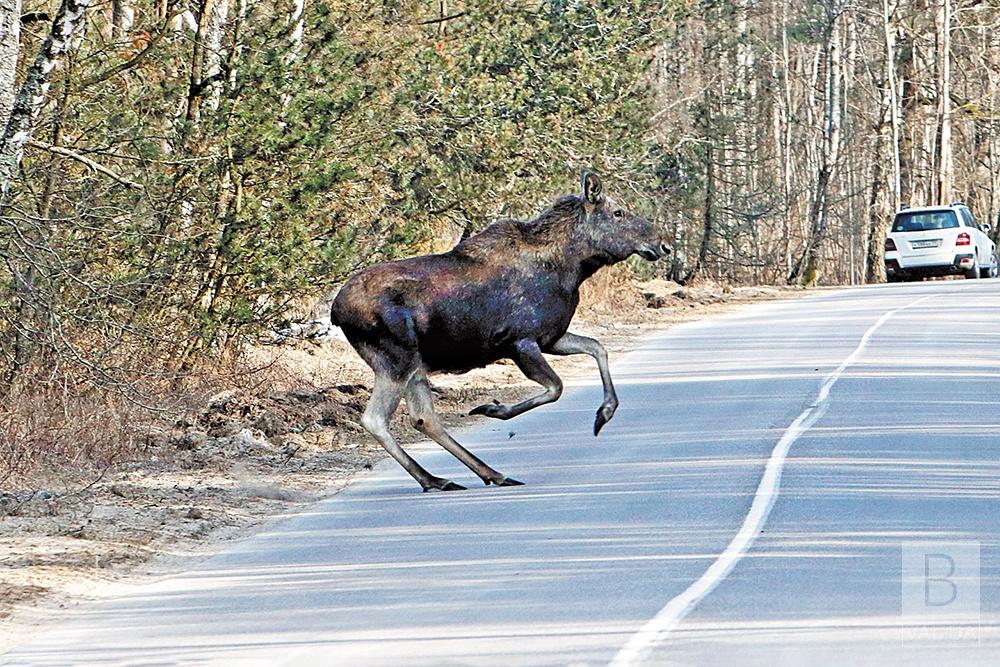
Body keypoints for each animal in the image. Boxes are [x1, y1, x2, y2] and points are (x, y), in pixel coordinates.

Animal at [330, 175, 672, 494]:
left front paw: (604, 413)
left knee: (424, 418)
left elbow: (598, 347)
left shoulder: (552, 337)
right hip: (397, 359)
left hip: (414, 363)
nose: (664, 245)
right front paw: (495, 409)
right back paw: (440, 477)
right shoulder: (520, 341)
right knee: (376, 418)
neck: (573, 269)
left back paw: (472, 475)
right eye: (618, 212)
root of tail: (335, 312)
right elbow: (556, 387)